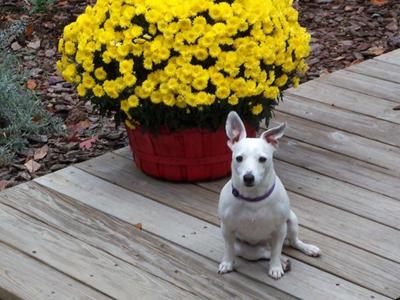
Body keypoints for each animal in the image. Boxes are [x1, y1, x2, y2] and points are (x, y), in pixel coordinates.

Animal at [217, 111, 320, 280]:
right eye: (239, 158)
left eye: (262, 159)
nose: (248, 177)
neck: (253, 198)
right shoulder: (227, 229)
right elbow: (228, 249)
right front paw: (227, 263)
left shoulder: (279, 230)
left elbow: (276, 252)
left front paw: (276, 267)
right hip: (246, 249)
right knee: (265, 253)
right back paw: (284, 261)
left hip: (291, 220)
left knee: (291, 243)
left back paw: (306, 249)